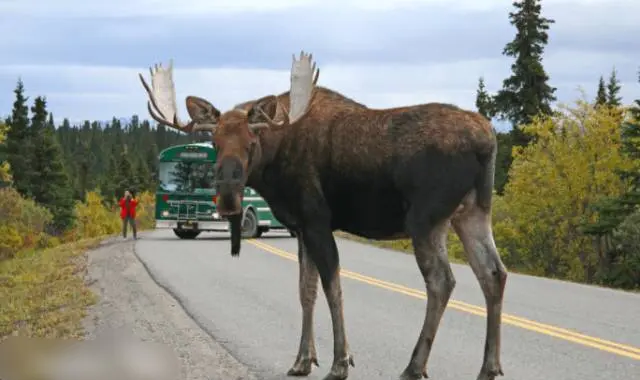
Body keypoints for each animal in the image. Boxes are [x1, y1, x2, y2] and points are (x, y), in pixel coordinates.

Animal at [138, 52, 508, 380]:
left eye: (251, 141)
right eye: (214, 141)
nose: (228, 196)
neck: (274, 164)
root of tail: (487, 140)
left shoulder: (316, 220)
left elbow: (333, 287)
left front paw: (340, 362)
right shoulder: (301, 227)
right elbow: (306, 290)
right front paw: (303, 359)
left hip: (426, 219)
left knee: (442, 280)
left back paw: (415, 366)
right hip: (472, 213)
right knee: (494, 273)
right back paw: (488, 367)